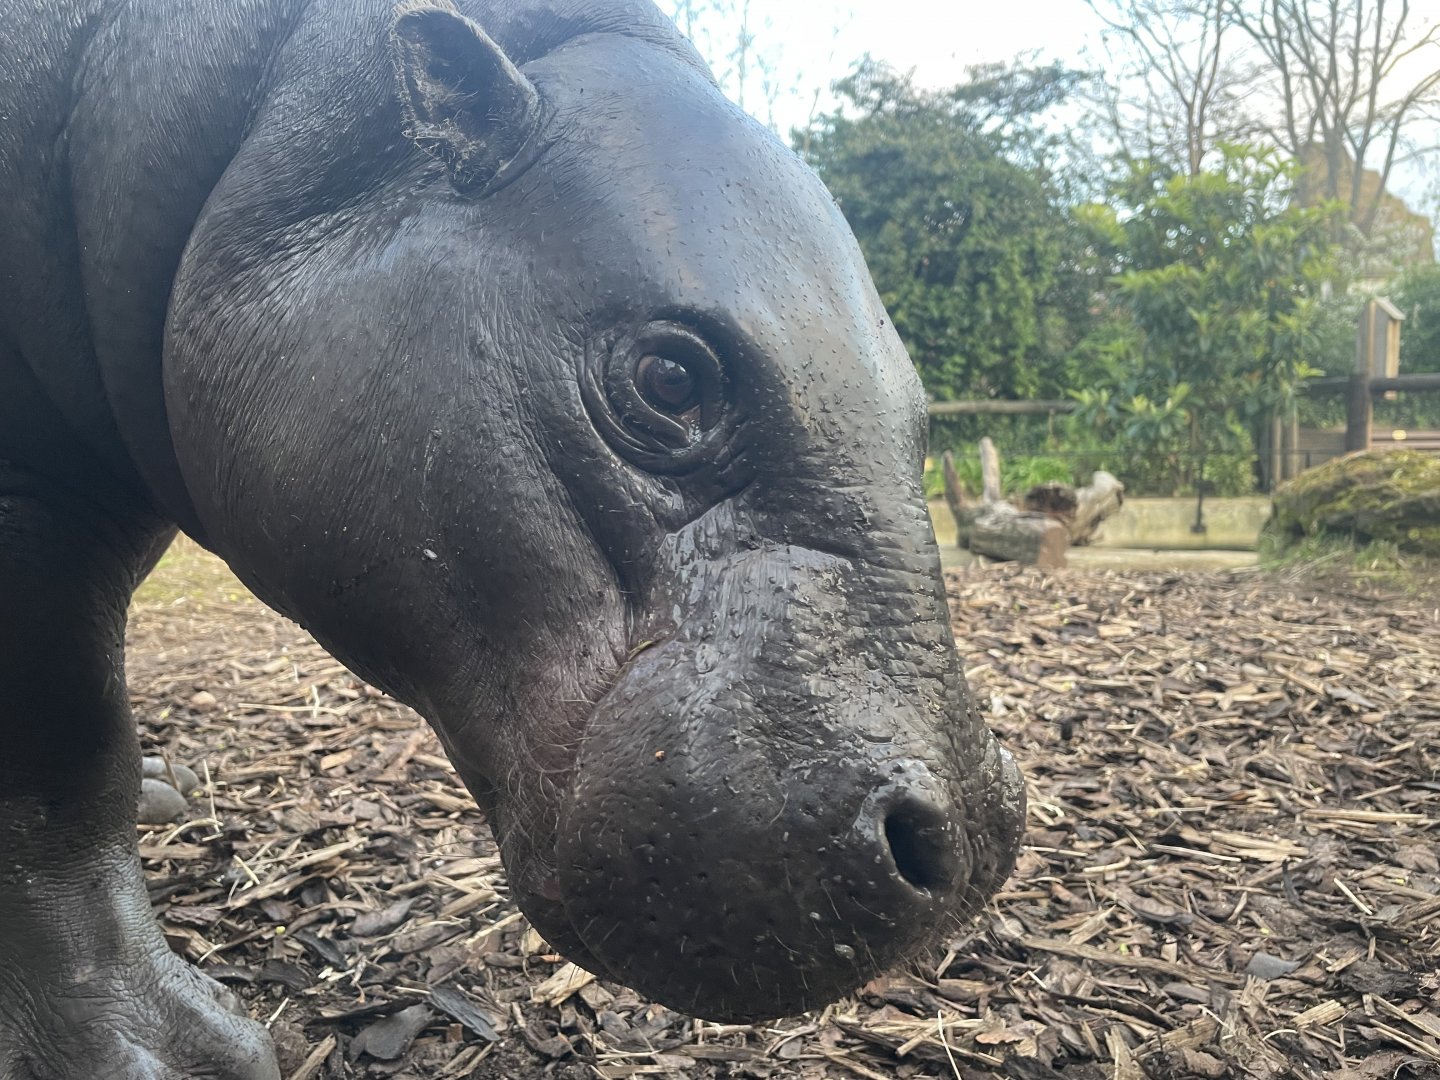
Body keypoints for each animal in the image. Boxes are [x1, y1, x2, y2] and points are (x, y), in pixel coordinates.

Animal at [0, 0, 1025, 1075]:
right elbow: (64, 760)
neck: (283, 128)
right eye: (671, 377)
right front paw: (165, 1053)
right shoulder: (30, 496)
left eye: (919, 413)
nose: (970, 840)